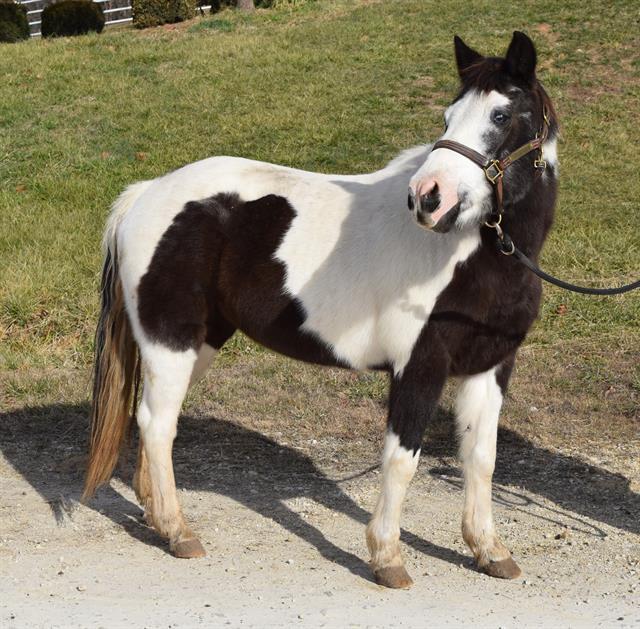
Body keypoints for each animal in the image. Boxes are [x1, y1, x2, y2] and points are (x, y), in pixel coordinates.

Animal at [83, 30, 559, 589]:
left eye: (502, 115)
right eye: (448, 116)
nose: (427, 198)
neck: (472, 254)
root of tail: (146, 195)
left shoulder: (490, 367)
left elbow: (481, 458)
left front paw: (489, 550)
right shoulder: (419, 367)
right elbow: (401, 460)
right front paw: (387, 558)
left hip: (199, 342)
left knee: (154, 421)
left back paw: (157, 517)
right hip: (170, 342)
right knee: (158, 425)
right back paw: (179, 532)